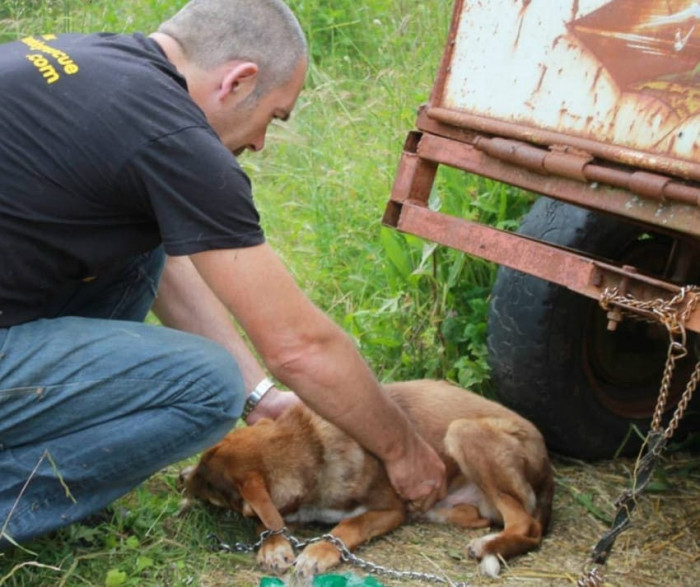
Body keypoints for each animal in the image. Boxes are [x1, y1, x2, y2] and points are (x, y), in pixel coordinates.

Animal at [180, 382, 552, 580]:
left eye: (207, 482)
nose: (180, 478)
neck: (312, 447)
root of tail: (547, 463)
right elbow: (268, 522)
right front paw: (273, 547)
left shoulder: (389, 510)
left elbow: (347, 526)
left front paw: (318, 551)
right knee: (480, 517)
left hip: (463, 431)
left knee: (525, 525)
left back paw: (489, 546)